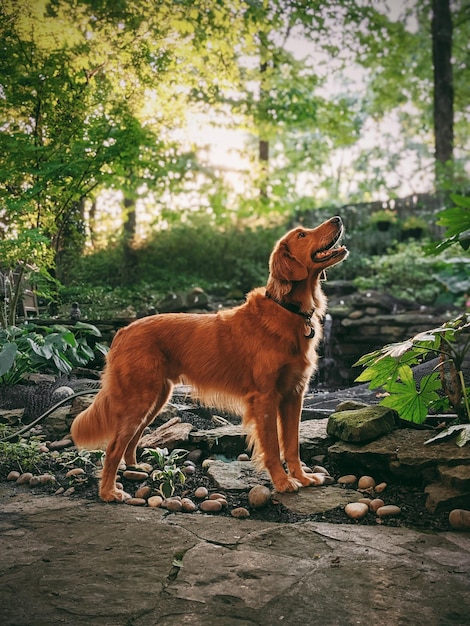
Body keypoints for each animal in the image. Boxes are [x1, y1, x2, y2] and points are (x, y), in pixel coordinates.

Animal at [71, 217, 346, 500]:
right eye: (302, 235)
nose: (338, 219)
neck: (287, 309)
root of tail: (123, 331)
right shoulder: (266, 397)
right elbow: (272, 446)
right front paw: (282, 482)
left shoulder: (294, 395)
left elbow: (292, 445)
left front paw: (302, 477)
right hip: (139, 398)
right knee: (113, 446)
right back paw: (109, 493)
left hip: (156, 397)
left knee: (131, 438)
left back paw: (136, 467)